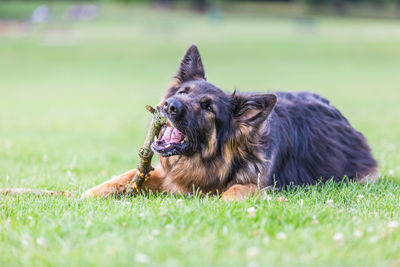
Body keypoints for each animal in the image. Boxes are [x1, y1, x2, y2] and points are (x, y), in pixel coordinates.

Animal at [82, 45, 378, 201]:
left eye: (209, 108)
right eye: (183, 93)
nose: (170, 106)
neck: (208, 161)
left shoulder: (258, 183)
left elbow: (234, 191)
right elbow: (125, 176)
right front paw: (85, 194)